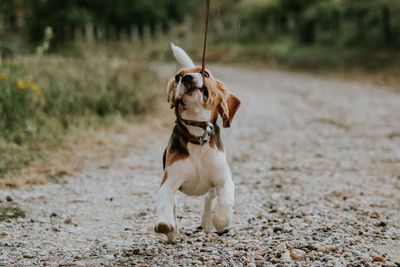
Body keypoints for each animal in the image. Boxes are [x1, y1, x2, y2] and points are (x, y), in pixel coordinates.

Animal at [154, 44, 241, 245]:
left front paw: (220, 222)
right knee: (175, 206)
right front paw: (164, 224)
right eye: (177, 77)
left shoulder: (223, 179)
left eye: (205, 73)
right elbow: (164, 201)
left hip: (212, 189)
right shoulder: (169, 181)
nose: (186, 78)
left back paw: (207, 223)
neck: (198, 137)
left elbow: (226, 201)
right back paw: (172, 232)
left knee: (209, 199)